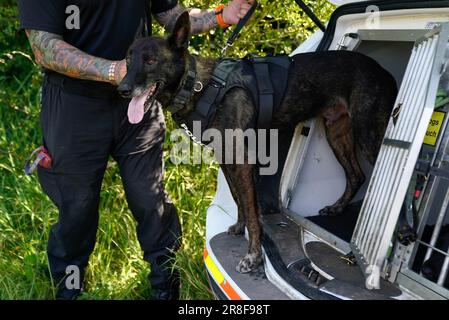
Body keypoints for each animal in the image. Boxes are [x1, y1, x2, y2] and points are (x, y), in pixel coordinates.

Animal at [118, 11, 396, 272]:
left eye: (150, 60)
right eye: (129, 60)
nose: (122, 89)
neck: (198, 86)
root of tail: (385, 73)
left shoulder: (242, 161)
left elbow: (253, 213)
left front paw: (253, 256)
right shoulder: (226, 159)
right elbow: (238, 199)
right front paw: (239, 227)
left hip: (370, 137)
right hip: (337, 133)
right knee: (356, 175)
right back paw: (337, 208)